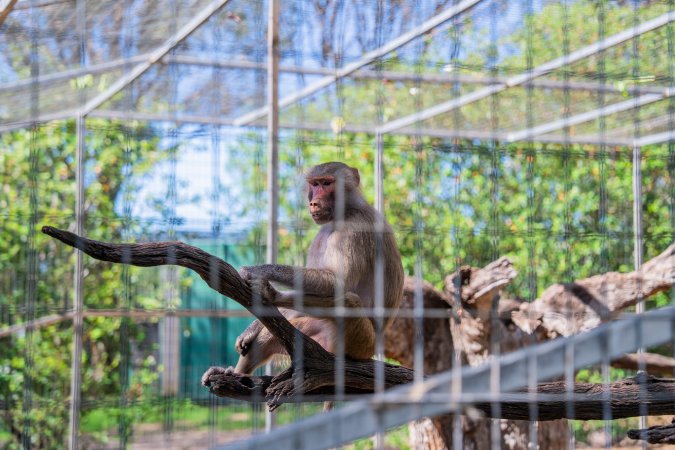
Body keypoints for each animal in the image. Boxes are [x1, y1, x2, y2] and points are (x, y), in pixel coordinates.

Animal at [232, 161, 404, 375]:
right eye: (315, 184)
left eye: (327, 183)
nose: (314, 203)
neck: (345, 212)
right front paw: (251, 330)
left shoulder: (356, 227)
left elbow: (336, 282)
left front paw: (260, 271)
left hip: (361, 343)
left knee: (348, 300)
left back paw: (272, 295)